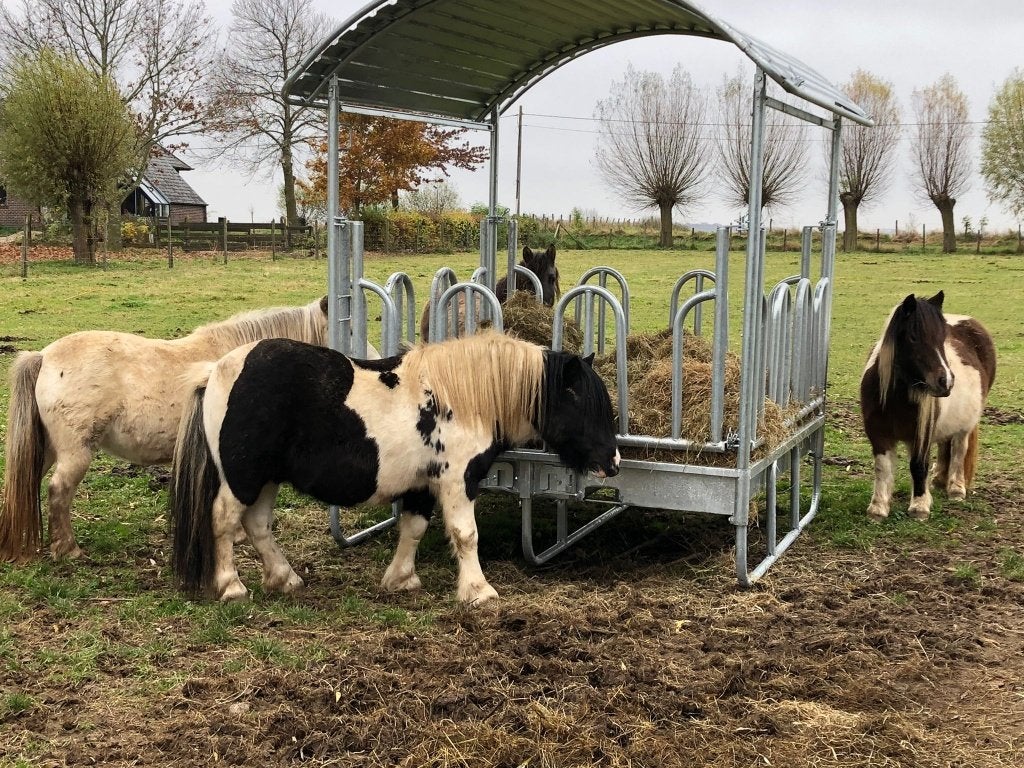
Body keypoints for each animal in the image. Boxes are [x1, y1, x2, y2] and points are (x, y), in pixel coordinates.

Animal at [0, 296, 378, 562]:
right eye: (349, 330)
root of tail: (44, 356)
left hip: (48, 450)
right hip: (75, 454)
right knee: (59, 492)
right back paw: (68, 549)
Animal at [169, 331, 620, 606]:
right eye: (583, 402)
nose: (613, 463)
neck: (463, 399)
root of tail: (217, 371)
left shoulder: (422, 485)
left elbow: (413, 529)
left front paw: (401, 579)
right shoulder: (457, 482)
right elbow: (466, 535)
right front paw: (478, 591)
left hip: (266, 479)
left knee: (258, 524)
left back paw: (285, 578)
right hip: (242, 477)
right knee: (224, 520)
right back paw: (231, 586)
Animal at [860, 291, 996, 521]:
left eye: (942, 338)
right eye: (913, 337)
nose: (946, 381)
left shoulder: (922, 434)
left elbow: (918, 466)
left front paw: (920, 506)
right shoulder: (878, 434)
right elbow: (882, 468)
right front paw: (878, 508)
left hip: (964, 427)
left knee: (959, 450)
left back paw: (956, 488)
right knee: (945, 446)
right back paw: (939, 480)